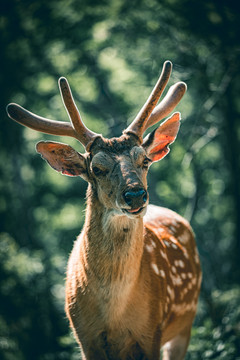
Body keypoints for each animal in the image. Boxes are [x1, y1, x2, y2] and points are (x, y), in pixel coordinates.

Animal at [7, 60, 201, 358]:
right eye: (97, 169)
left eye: (145, 160)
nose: (136, 195)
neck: (113, 311)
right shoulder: (85, 336)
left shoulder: (152, 332)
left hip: (185, 324)